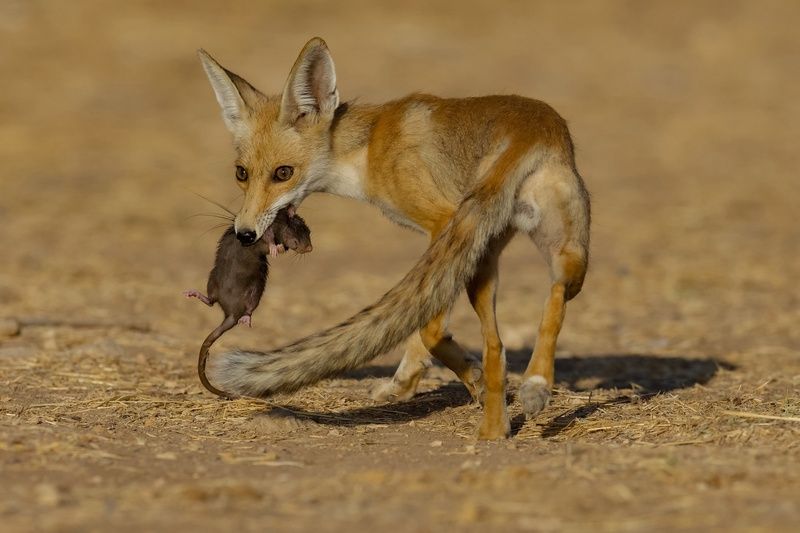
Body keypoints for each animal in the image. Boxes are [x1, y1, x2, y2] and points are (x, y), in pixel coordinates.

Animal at [197, 37, 590, 439]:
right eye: (241, 173)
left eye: (283, 173)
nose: (245, 234)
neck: (368, 150)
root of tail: (528, 127)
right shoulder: (441, 244)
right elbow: (420, 321)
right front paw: (406, 381)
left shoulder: (441, 221)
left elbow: (428, 327)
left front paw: (446, 377)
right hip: (549, 252)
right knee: (538, 310)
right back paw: (517, 403)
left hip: (487, 254)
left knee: (478, 337)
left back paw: (506, 401)